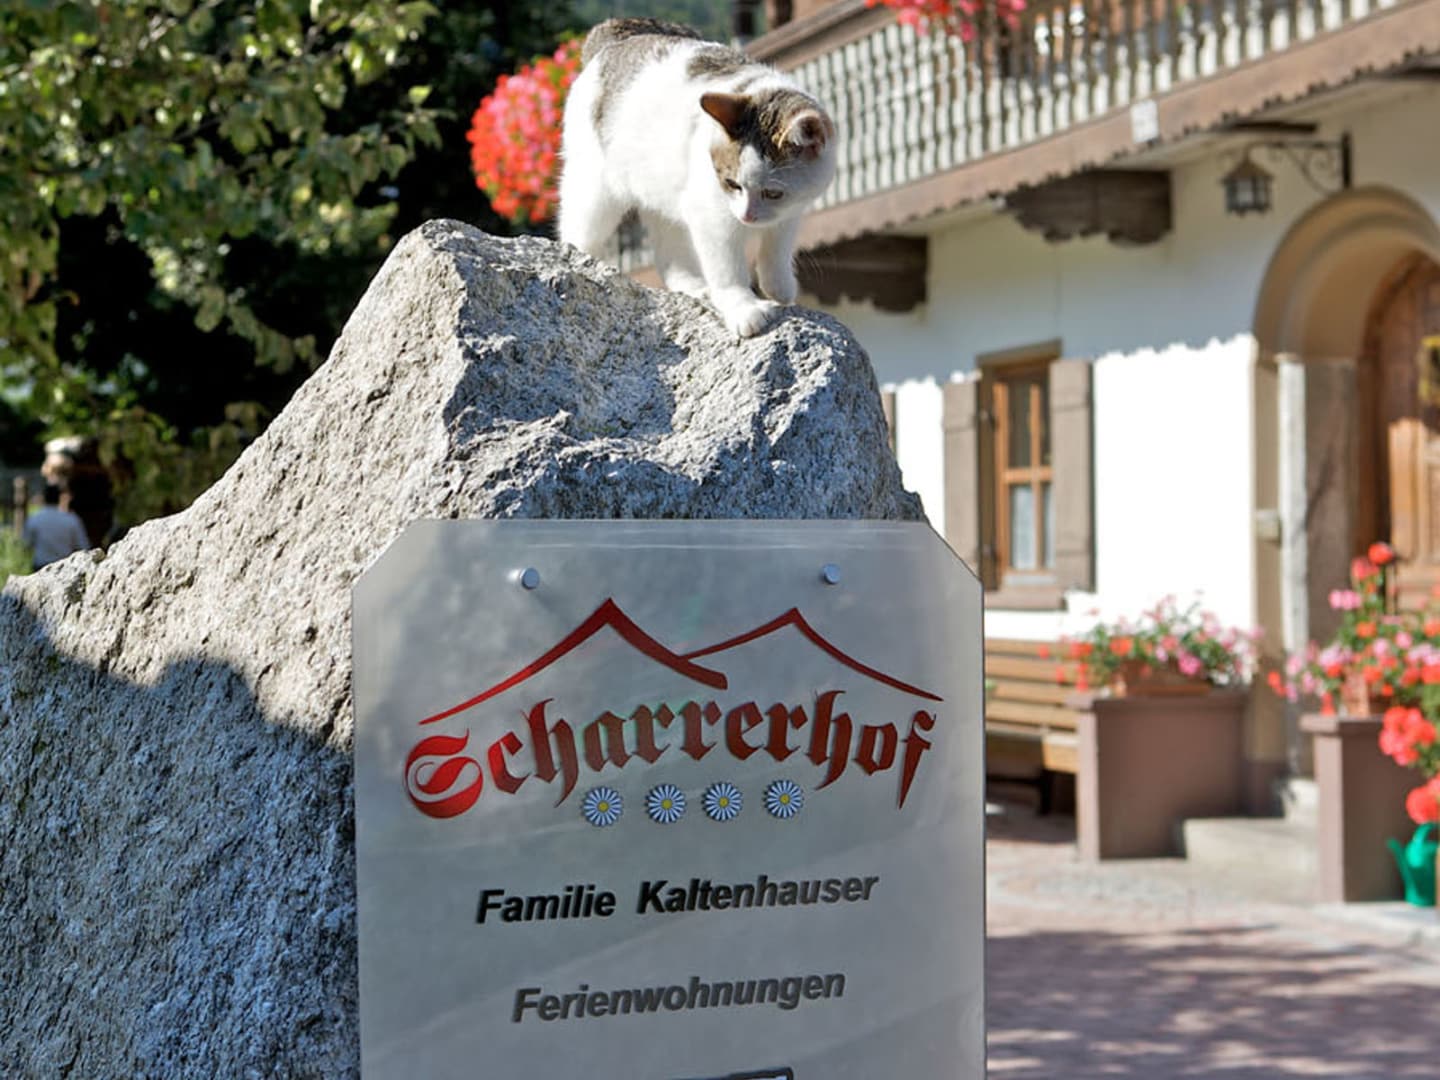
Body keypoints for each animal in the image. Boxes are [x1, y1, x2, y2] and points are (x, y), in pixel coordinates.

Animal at [558, 18, 837, 339]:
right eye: (731, 184)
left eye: (773, 193)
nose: (747, 217)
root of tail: (611, 38)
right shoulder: (712, 217)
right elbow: (727, 269)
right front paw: (743, 307)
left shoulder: (789, 212)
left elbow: (776, 248)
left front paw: (778, 285)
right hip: (595, 192)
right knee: (578, 232)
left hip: (662, 196)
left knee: (669, 253)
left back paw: (692, 287)